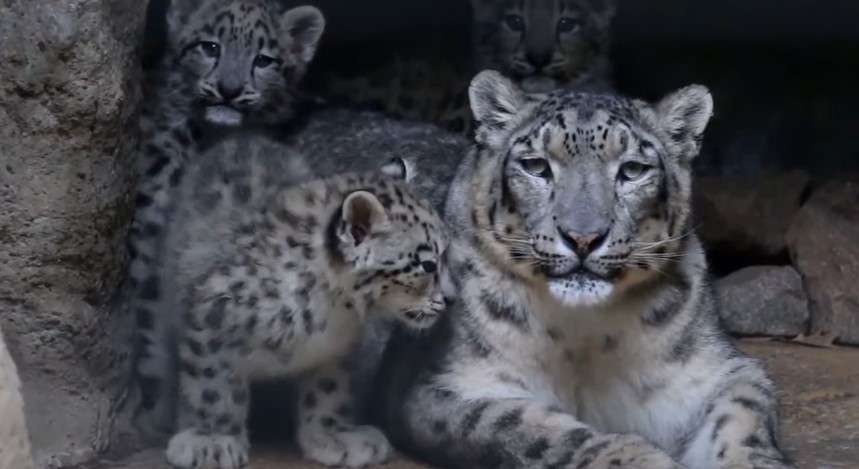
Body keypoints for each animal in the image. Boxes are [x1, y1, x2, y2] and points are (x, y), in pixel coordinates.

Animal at [372, 70, 788, 468]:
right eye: (536, 166)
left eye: (632, 169)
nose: (583, 238)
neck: (584, 337)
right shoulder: (447, 384)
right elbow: (532, 428)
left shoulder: (711, 371)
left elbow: (742, 415)